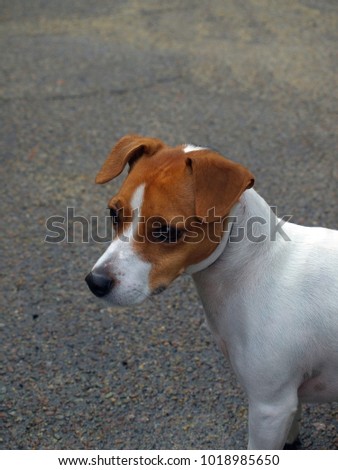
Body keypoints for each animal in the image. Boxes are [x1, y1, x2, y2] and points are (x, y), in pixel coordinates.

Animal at [85, 134, 338, 450]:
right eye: (113, 213)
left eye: (166, 232)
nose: (95, 282)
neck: (254, 267)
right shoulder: (286, 404)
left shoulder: (270, 406)